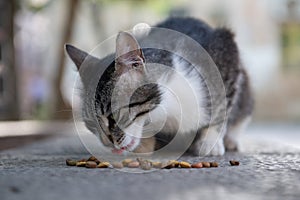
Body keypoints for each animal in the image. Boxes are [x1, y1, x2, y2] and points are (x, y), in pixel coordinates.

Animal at [65, 16, 253, 156]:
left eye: (112, 117)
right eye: (90, 124)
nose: (107, 144)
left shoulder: (225, 50)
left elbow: (222, 107)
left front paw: (210, 141)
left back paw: (230, 140)